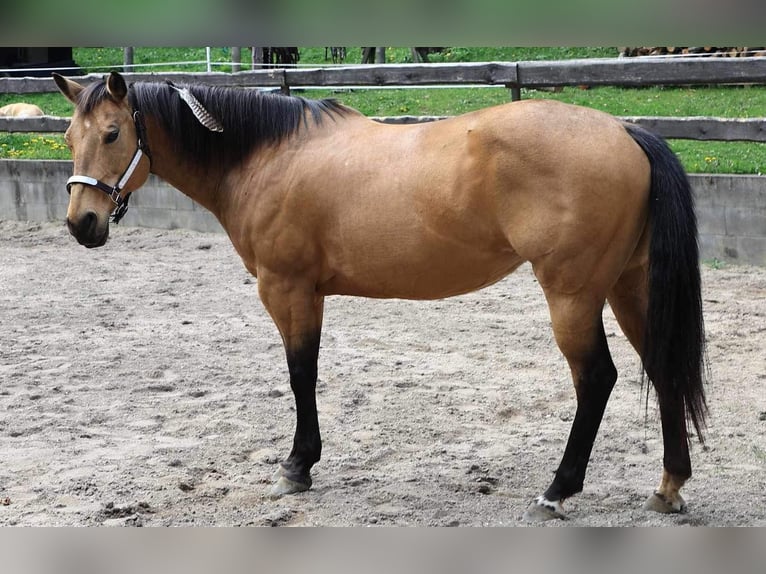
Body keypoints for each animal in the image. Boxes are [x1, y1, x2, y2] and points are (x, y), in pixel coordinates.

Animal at [51, 71, 708, 520]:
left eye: (113, 133)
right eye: (68, 135)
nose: (82, 223)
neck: (268, 156)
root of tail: (625, 129)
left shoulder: (287, 288)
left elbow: (301, 374)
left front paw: (296, 467)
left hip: (572, 295)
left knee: (597, 380)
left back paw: (558, 489)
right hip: (628, 288)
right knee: (664, 370)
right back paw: (669, 486)